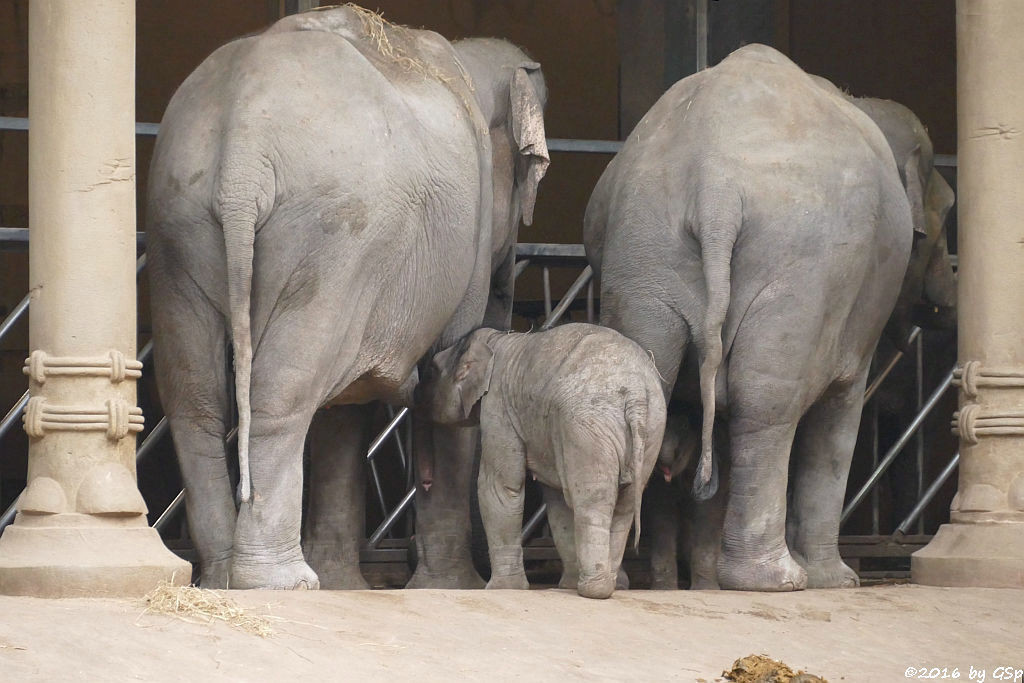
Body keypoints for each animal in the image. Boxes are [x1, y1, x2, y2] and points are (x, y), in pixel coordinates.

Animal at [148, 5, 548, 589]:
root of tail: (243, 150)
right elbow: (448, 374)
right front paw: (452, 586)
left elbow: (346, 406)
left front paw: (348, 581)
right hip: (333, 235)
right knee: (282, 388)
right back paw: (283, 581)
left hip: (177, 223)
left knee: (194, 397)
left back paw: (222, 578)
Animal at [417, 325, 667, 598]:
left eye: (431, 370)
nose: (426, 482)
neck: (496, 339)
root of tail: (635, 392)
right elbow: (556, 502)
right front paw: (566, 585)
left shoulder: (498, 406)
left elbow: (500, 487)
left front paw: (501, 589)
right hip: (651, 427)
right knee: (624, 504)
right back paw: (603, 584)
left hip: (588, 424)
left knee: (593, 499)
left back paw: (594, 589)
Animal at [589, 45, 954, 593]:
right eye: (946, 215)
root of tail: (715, 186)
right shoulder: (853, 309)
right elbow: (840, 410)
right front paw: (837, 581)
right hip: (799, 267)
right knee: (767, 401)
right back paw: (777, 579)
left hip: (644, 250)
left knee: (649, 387)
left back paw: (621, 576)